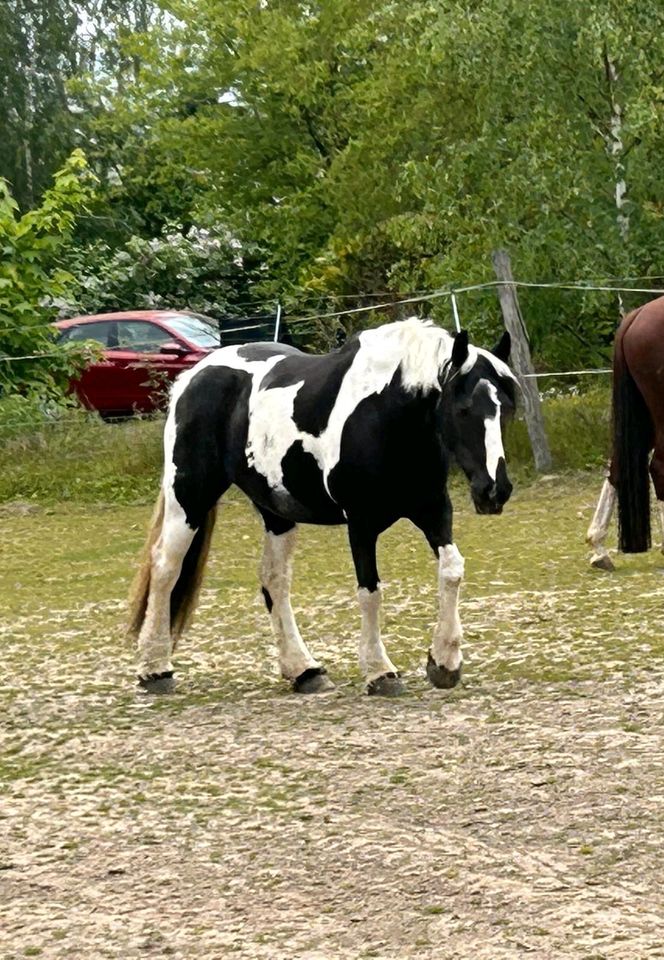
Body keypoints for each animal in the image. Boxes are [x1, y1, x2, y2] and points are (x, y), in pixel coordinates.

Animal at [127, 318, 516, 692]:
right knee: (165, 568)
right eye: (463, 409)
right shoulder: (361, 522)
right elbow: (370, 591)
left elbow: (452, 570)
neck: (385, 415)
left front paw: (444, 663)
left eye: (506, 410)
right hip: (189, 496)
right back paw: (155, 669)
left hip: (276, 511)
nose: (494, 490)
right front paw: (380, 672)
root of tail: (193, 377)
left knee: (274, 579)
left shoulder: (433, 510)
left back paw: (304, 670)